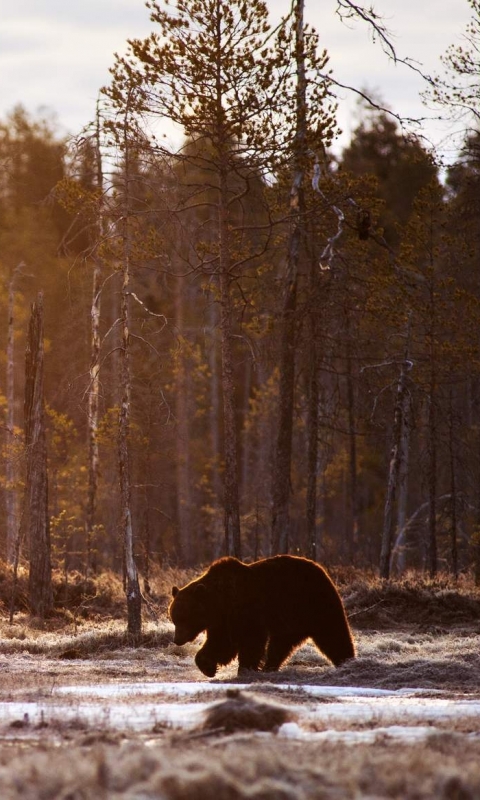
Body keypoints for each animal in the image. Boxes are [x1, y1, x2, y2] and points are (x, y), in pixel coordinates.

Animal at [169, 552, 352, 680]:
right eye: (174, 619)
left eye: (184, 618)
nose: (177, 639)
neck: (220, 603)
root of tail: (321, 569)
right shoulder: (222, 621)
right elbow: (220, 643)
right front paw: (207, 666)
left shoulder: (246, 610)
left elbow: (251, 639)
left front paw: (245, 669)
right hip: (290, 621)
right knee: (281, 645)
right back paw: (270, 667)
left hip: (314, 604)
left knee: (333, 633)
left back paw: (347, 661)